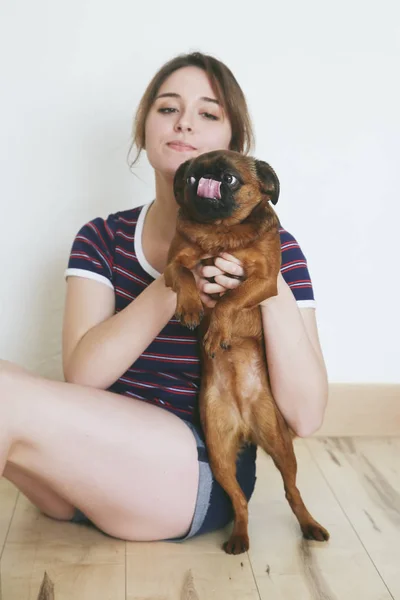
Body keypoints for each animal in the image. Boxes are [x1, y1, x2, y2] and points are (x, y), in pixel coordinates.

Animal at [162, 149, 328, 552]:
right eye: (191, 179)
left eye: (229, 179)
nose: (204, 183)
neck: (220, 231)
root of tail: (245, 423)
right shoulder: (173, 263)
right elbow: (188, 275)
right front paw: (190, 307)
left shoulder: (264, 279)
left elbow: (228, 300)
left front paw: (217, 330)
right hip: (220, 454)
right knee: (239, 501)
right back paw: (238, 537)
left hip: (281, 446)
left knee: (292, 491)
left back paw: (310, 525)